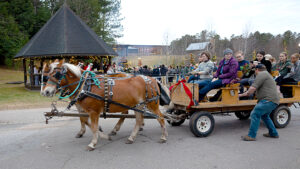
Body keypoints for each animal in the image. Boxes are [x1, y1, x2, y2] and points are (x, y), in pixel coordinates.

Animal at [40, 60, 168, 151]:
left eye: (56, 74)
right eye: (47, 75)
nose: (46, 92)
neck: (85, 85)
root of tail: (153, 80)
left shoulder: (93, 111)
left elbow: (93, 126)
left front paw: (93, 143)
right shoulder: (84, 109)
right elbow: (85, 121)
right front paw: (100, 135)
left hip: (152, 104)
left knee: (161, 118)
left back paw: (163, 137)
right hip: (138, 106)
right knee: (138, 120)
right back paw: (131, 137)